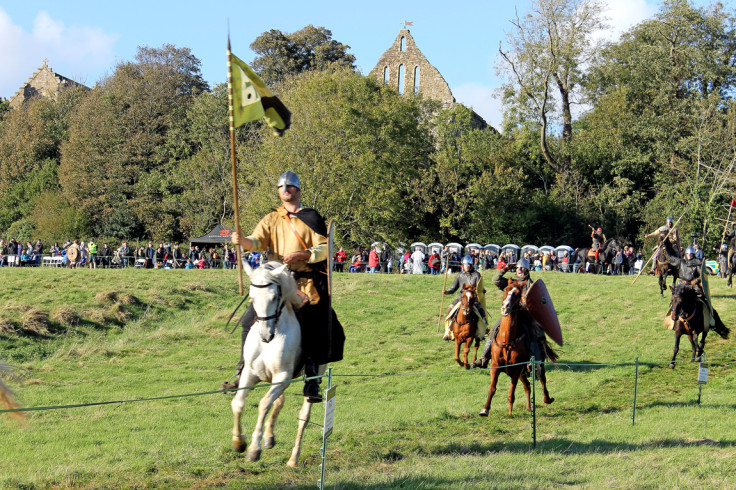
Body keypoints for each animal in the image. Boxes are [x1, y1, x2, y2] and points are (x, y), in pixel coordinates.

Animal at [230, 262, 322, 468]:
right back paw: (269, 437)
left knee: (303, 416)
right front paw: (239, 443)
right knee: (279, 401)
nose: (265, 334)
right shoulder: (250, 373)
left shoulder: (282, 376)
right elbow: (238, 403)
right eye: (252, 297)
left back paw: (293, 459)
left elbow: (264, 404)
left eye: (274, 297)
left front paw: (254, 449)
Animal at [480, 278, 556, 416]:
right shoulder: (495, 366)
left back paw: (547, 399)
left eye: (518, 294)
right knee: (527, 386)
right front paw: (485, 409)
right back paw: (529, 408)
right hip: (522, 373)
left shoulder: (516, 368)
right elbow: (492, 388)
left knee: (542, 378)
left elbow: (511, 392)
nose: (505, 307)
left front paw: (510, 413)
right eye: (506, 289)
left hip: (536, 364)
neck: (507, 340)